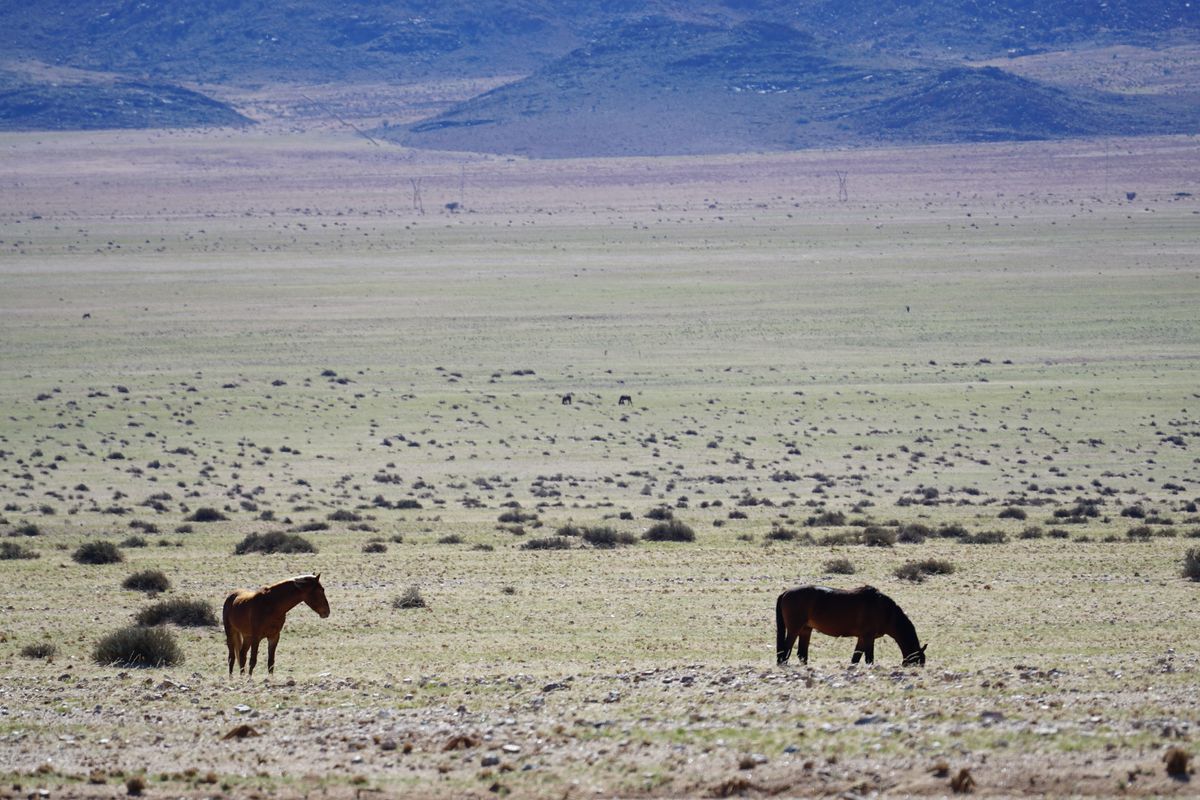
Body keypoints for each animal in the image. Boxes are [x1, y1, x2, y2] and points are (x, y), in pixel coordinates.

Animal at [776, 585, 926, 666]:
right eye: (919, 662)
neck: (885, 610)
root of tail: (785, 592)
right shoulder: (868, 637)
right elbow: (868, 659)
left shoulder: (862, 638)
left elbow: (855, 658)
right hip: (795, 629)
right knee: (785, 650)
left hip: (806, 629)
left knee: (801, 654)